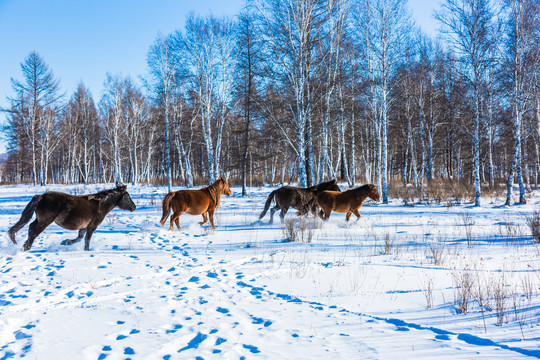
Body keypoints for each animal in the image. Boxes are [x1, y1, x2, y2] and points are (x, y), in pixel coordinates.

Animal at [7, 186, 135, 250]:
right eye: (128, 197)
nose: (134, 207)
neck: (99, 205)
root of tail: (42, 196)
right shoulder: (92, 227)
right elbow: (86, 240)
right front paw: (86, 250)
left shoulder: (83, 227)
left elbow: (79, 238)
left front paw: (65, 242)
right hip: (45, 221)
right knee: (34, 230)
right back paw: (27, 247)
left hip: (39, 219)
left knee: (30, 227)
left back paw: (24, 245)